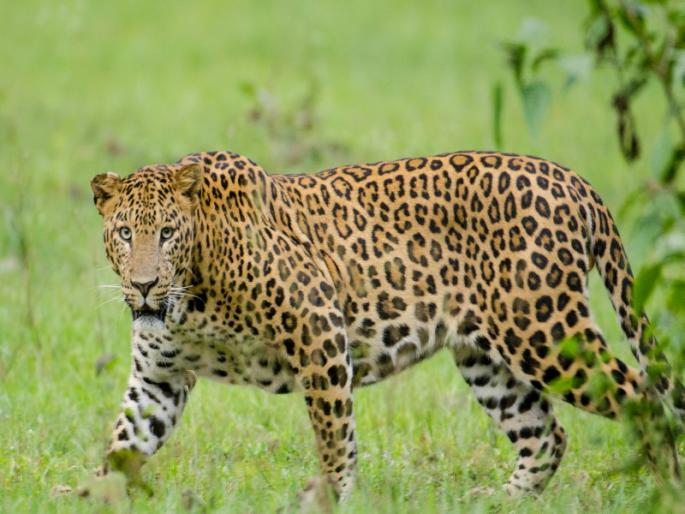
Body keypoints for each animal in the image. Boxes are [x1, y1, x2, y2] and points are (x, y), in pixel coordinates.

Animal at [90, 149, 685, 501]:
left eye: (167, 233)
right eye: (125, 233)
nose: (144, 284)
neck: (190, 296)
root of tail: (574, 180)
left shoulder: (319, 328)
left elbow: (335, 436)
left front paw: (329, 498)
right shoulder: (158, 379)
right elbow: (123, 444)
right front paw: (91, 496)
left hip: (544, 331)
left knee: (643, 397)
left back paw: (663, 492)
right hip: (487, 358)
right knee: (546, 435)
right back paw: (501, 503)